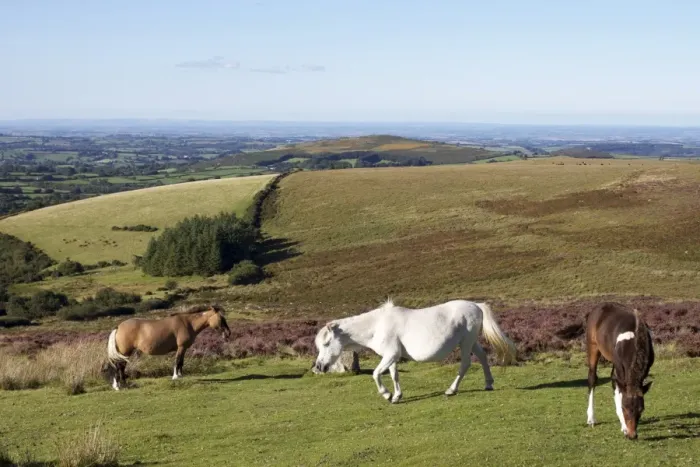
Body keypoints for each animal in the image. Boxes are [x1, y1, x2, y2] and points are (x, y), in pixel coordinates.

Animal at [314, 299, 517, 403]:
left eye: (326, 343)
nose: (320, 367)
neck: (377, 325)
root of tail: (476, 305)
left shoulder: (390, 355)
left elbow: (376, 374)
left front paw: (386, 394)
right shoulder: (392, 356)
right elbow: (394, 375)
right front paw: (396, 396)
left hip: (466, 343)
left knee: (466, 364)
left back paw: (451, 390)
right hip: (472, 342)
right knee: (482, 357)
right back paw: (488, 384)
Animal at [585, 302, 654, 440]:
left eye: (641, 409)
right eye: (624, 407)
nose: (632, 435)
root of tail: (597, 308)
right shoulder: (620, 368)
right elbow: (619, 390)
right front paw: (624, 427)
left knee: (613, 379)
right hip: (593, 347)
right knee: (592, 379)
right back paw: (591, 418)